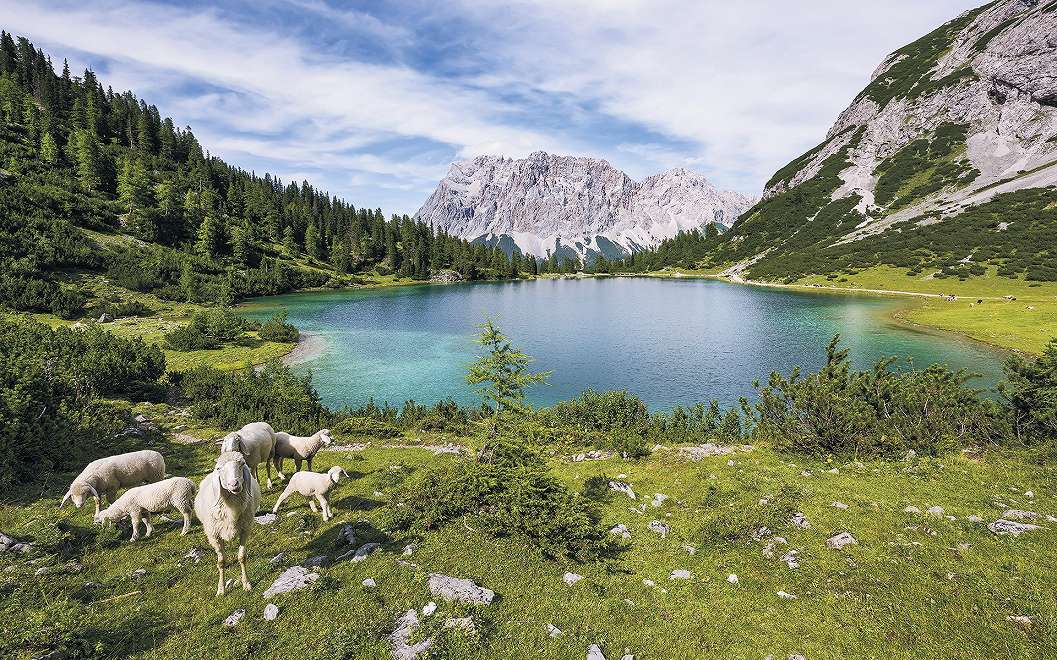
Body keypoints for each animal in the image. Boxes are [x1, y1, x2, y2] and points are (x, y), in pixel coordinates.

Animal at [194, 450, 262, 596]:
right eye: (219, 468)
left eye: (242, 464)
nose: (234, 484)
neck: (232, 509)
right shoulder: (215, 536)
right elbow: (221, 562)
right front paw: (221, 589)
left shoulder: (245, 530)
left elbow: (242, 557)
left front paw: (246, 583)